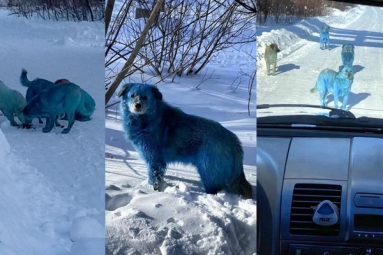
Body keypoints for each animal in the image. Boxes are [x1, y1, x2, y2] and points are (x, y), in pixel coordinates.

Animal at [118, 82, 254, 198]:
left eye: (145, 97)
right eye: (132, 95)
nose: (137, 105)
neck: (147, 119)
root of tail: (234, 141)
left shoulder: (154, 160)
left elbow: (154, 178)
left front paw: (150, 191)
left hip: (207, 171)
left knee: (213, 191)